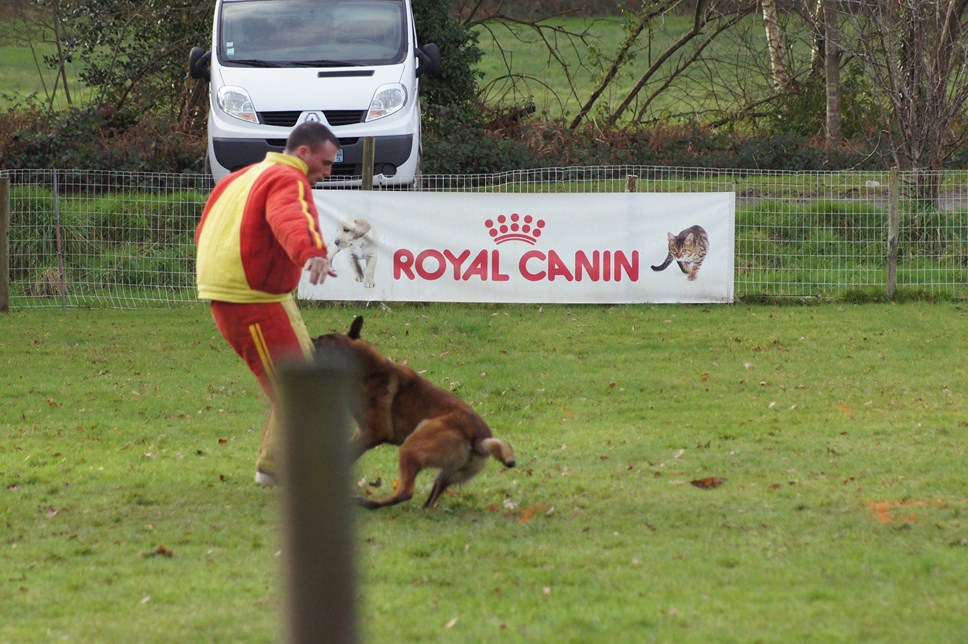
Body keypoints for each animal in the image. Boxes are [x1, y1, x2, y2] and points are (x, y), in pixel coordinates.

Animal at [316, 316, 516, 508]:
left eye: (320, 342)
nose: (311, 339)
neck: (366, 372)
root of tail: (479, 438)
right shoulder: (362, 431)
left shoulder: (375, 433)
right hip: (446, 472)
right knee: (434, 493)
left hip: (411, 446)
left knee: (406, 492)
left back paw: (368, 503)